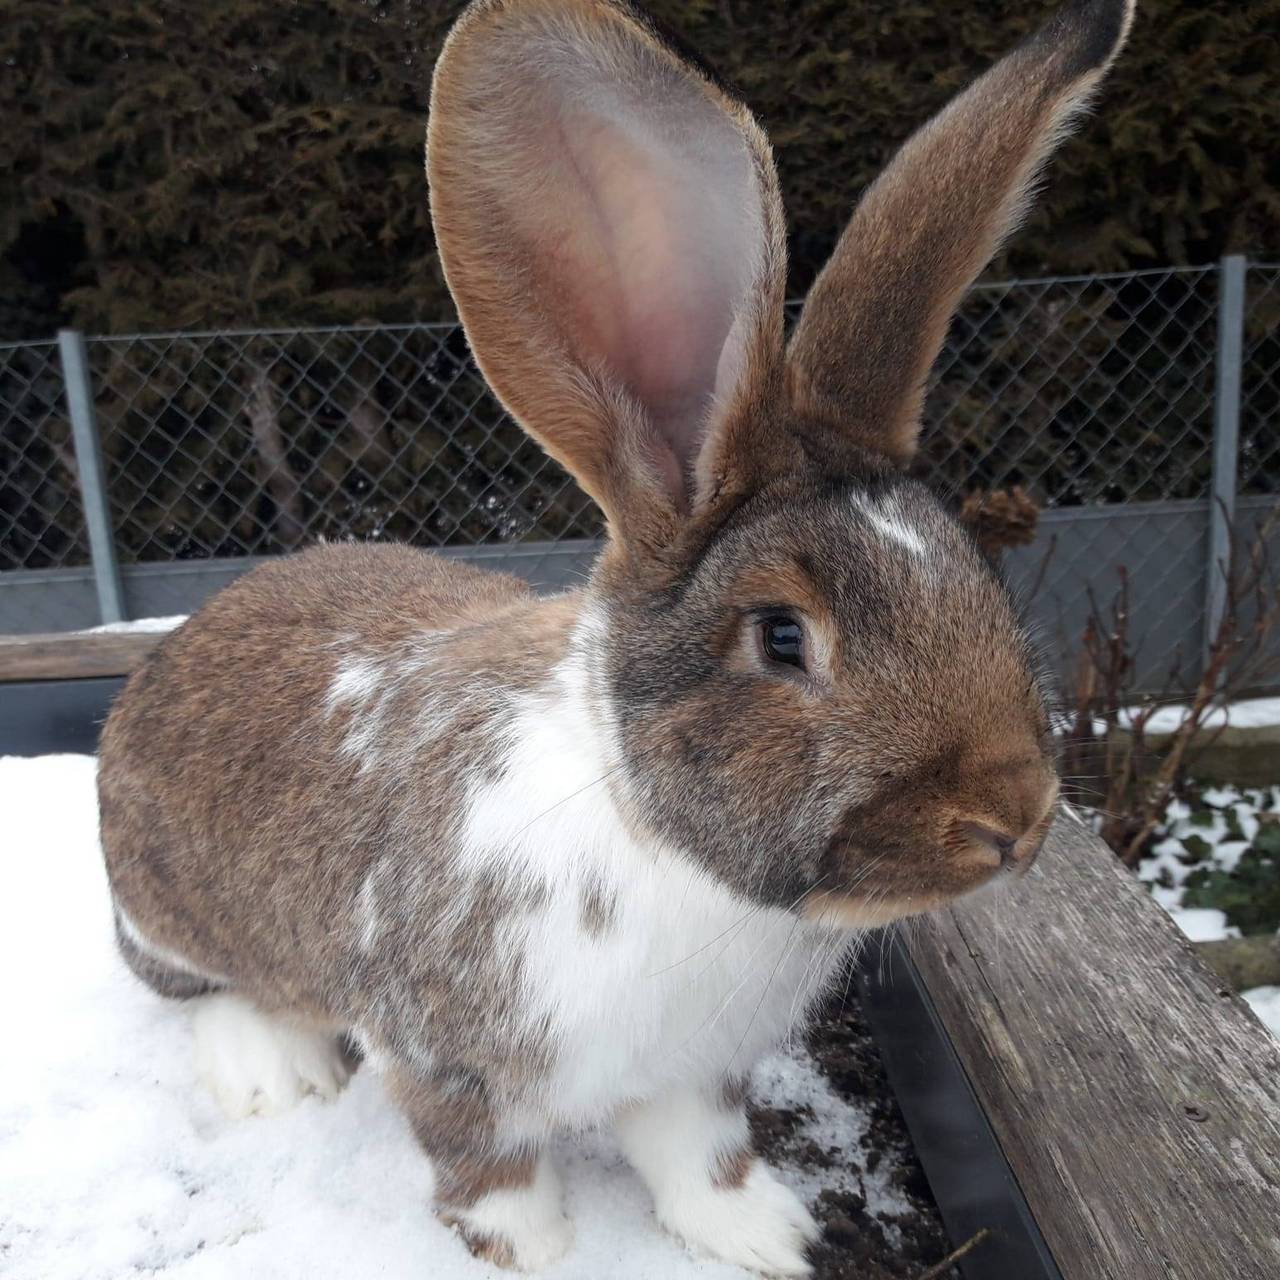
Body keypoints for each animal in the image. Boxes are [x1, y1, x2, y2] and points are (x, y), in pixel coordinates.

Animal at [102, 0, 1131, 1269]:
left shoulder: (692, 1074)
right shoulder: (453, 1063)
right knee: (204, 989)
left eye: (977, 577)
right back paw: (270, 1072)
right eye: (781, 638)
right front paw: (541, 1250)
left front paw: (770, 1235)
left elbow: (701, 1158)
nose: (1012, 817)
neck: (660, 844)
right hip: (169, 912)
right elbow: (489, 1177)